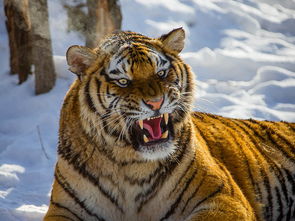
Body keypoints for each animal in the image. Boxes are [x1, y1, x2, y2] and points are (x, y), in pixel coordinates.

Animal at [44, 28, 295, 221]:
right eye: (123, 81)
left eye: (162, 73)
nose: (156, 102)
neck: (130, 165)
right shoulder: (64, 208)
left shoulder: (225, 198)